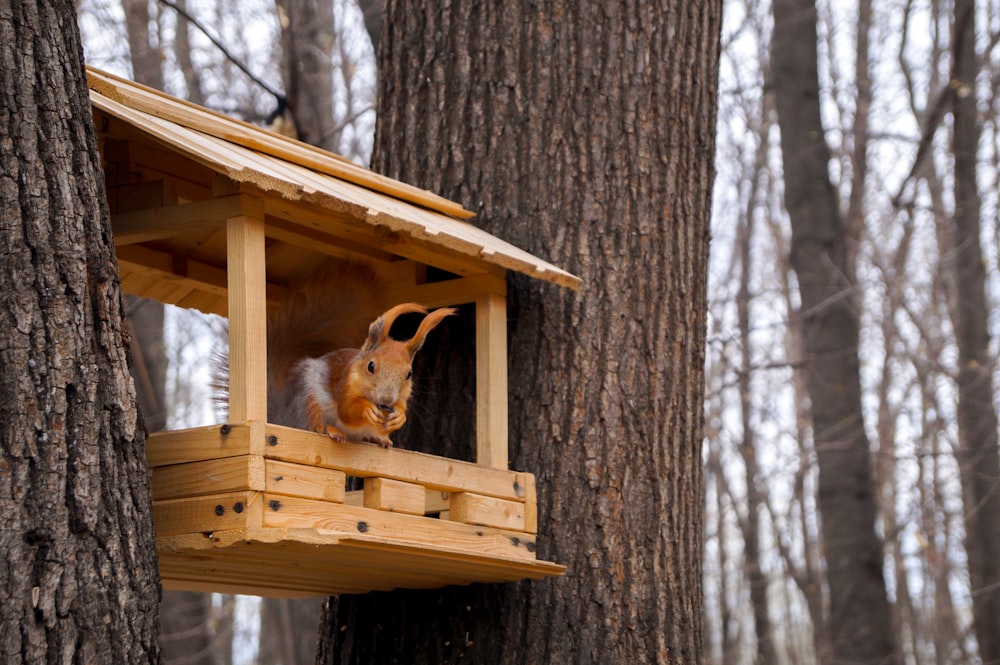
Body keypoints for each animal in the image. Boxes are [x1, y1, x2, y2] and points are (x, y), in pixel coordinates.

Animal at [266, 260, 454, 446]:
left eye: (409, 374)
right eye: (371, 366)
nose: (386, 399)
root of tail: (284, 414)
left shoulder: (403, 395)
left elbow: (400, 407)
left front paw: (399, 416)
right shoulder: (346, 382)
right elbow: (346, 409)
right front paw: (366, 409)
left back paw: (376, 438)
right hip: (308, 398)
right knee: (312, 423)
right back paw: (328, 428)